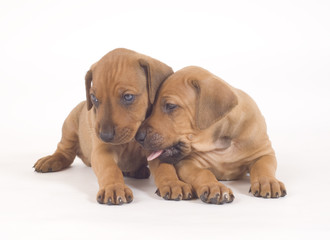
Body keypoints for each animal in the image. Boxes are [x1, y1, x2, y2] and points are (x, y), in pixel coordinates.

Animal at [33, 48, 173, 204]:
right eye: (94, 98)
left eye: (128, 97)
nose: (104, 136)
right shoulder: (102, 151)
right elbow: (110, 168)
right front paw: (114, 187)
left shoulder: (156, 146)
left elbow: (165, 167)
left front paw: (173, 183)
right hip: (70, 123)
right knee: (65, 151)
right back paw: (52, 159)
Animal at [136, 66, 286, 204]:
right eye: (151, 108)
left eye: (171, 106)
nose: (138, 137)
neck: (221, 143)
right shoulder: (187, 162)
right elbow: (203, 173)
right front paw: (214, 187)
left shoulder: (263, 152)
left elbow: (263, 166)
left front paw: (268, 182)